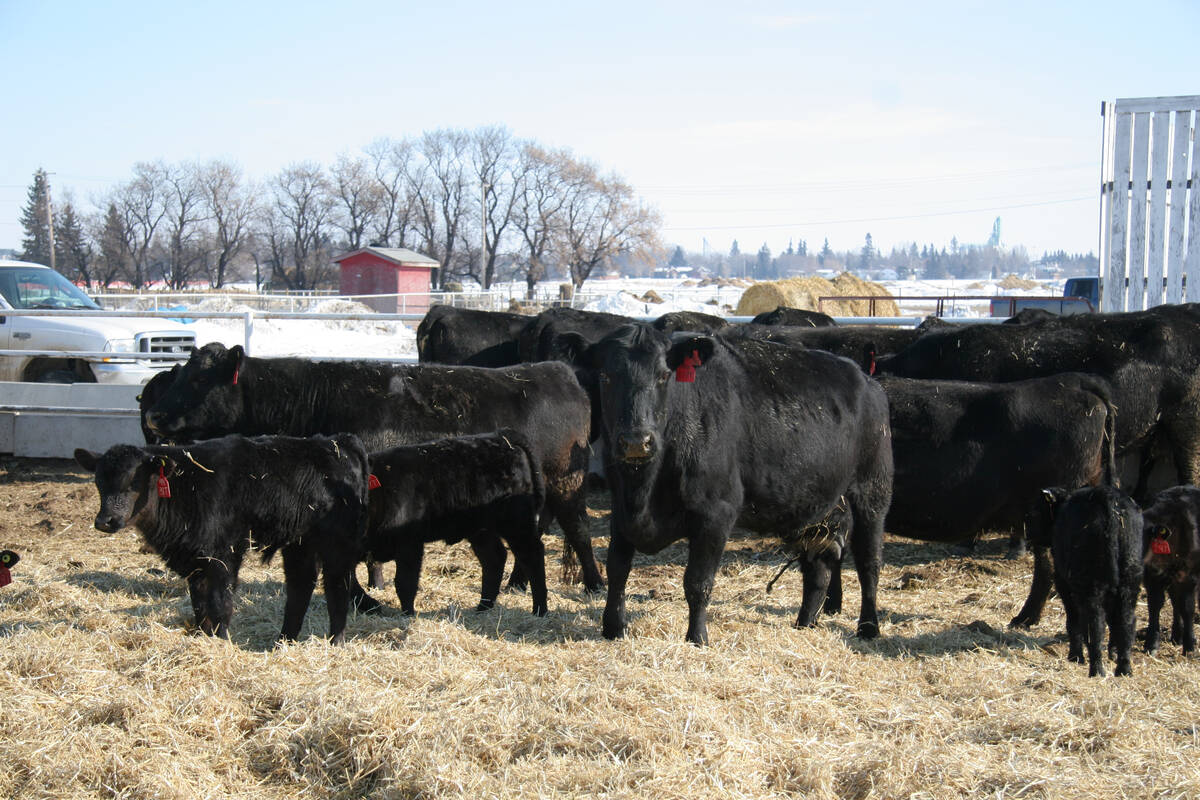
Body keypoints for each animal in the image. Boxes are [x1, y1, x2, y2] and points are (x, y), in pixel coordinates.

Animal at [73, 433, 370, 644]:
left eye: (132, 482)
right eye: (98, 482)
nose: (105, 521)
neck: (187, 485)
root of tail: (337, 441)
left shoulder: (223, 554)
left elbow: (219, 602)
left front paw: (222, 641)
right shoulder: (195, 558)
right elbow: (199, 602)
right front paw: (203, 637)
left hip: (336, 544)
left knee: (337, 586)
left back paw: (336, 641)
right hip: (300, 544)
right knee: (300, 586)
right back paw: (283, 641)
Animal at [366, 429, 548, 616]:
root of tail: (503, 438)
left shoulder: (409, 544)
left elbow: (405, 582)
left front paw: (407, 614)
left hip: (516, 523)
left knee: (532, 555)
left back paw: (540, 609)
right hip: (480, 529)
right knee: (494, 558)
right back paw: (483, 607)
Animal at [557, 323, 893, 645]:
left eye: (664, 375)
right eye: (605, 375)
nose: (636, 441)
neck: (645, 489)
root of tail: (867, 380)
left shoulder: (716, 512)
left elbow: (698, 582)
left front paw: (697, 637)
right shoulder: (621, 507)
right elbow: (617, 570)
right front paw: (613, 628)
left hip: (872, 492)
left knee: (869, 563)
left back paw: (868, 627)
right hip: (816, 506)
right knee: (817, 567)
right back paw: (805, 623)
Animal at [1043, 485, 1143, 677]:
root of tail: (1107, 495)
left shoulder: (1063, 583)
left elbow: (1073, 621)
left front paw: (1075, 656)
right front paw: (1112, 652)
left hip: (1091, 585)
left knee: (1094, 624)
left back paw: (1096, 669)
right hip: (1129, 581)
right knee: (1126, 622)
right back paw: (1124, 669)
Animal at [1140, 485, 1200, 656]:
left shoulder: (1188, 576)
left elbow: (1188, 607)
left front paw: (1190, 647)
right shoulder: (1151, 576)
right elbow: (1154, 605)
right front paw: (1151, 644)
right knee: (1174, 601)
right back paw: (1176, 636)